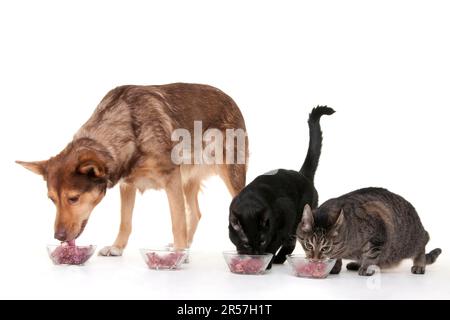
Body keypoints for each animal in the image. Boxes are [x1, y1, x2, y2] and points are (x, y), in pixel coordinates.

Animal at [17, 83, 248, 255]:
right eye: (52, 200)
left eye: (73, 198)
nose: (58, 237)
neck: (129, 129)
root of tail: (230, 98)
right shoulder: (127, 184)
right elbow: (125, 221)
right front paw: (117, 247)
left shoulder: (171, 178)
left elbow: (177, 221)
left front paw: (178, 255)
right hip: (187, 179)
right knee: (197, 212)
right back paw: (187, 245)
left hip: (231, 174)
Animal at [298, 188, 442, 276]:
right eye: (308, 245)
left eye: (325, 248)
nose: (315, 259)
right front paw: (334, 266)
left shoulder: (378, 231)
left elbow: (371, 254)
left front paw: (366, 267)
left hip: (410, 241)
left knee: (422, 244)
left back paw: (419, 264)